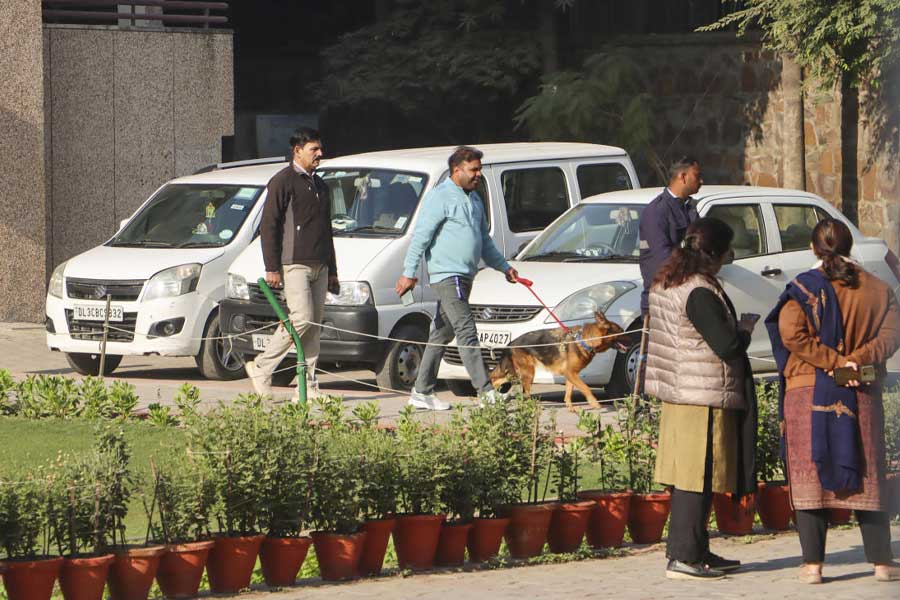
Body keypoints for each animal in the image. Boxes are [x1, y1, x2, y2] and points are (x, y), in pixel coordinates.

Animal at [492, 310, 624, 412]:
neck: (584, 340)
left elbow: (569, 393)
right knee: (521, 392)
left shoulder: (571, 374)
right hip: (526, 373)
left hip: (517, 374)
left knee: (497, 378)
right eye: (621, 332)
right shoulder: (571, 373)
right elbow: (585, 388)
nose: (631, 338)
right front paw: (594, 403)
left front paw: (571, 408)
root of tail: (511, 343)